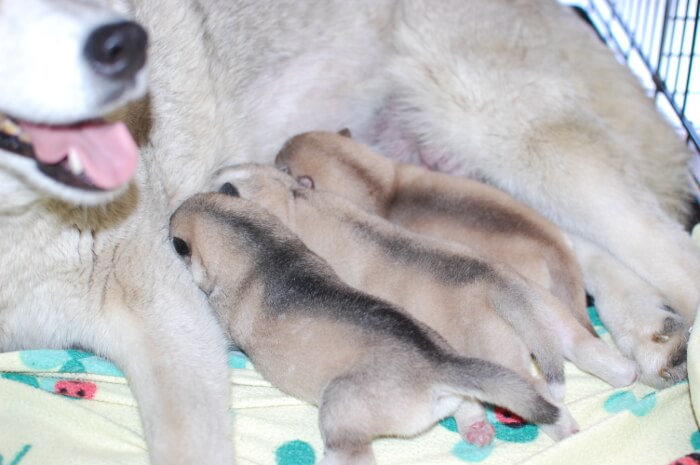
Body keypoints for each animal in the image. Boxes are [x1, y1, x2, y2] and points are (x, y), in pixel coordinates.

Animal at [170, 190, 564, 462]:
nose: (172, 212)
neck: (259, 245)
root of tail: (436, 365)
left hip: (339, 405)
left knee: (354, 454)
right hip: (455, 376)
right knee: (469, 405)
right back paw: (478, 430)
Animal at [209, 164, 640, 438]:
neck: (294, 197)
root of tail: (502, 285)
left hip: (498, 351)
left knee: (534, 388)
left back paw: (561, 427)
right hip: (549, 314)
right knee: (583, 346)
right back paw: (626, 375)